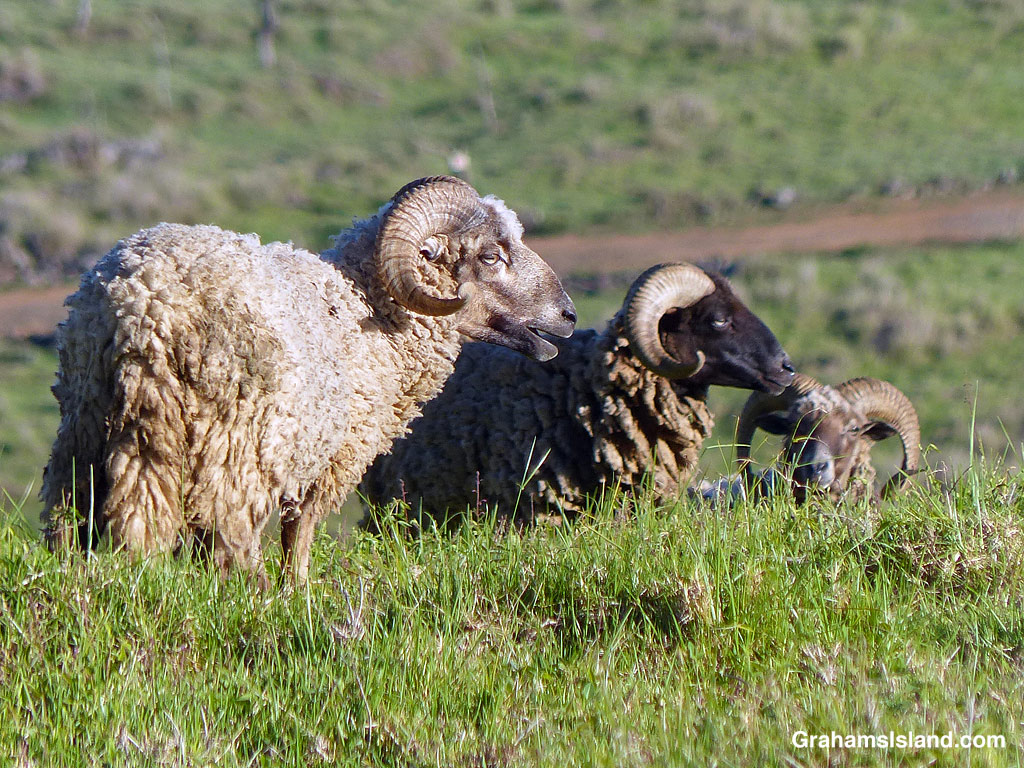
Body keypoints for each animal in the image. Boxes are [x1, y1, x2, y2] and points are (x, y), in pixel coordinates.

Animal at [41, 175, 577, 583]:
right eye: (490, 256)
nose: (568, 316)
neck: (368, 313)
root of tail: (143, 307)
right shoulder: (332, 461)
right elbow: (299, 537)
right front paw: (295, 592)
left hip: (88, 428)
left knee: (73, 518)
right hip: (229, 447)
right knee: (224, 534)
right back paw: (249, 591)